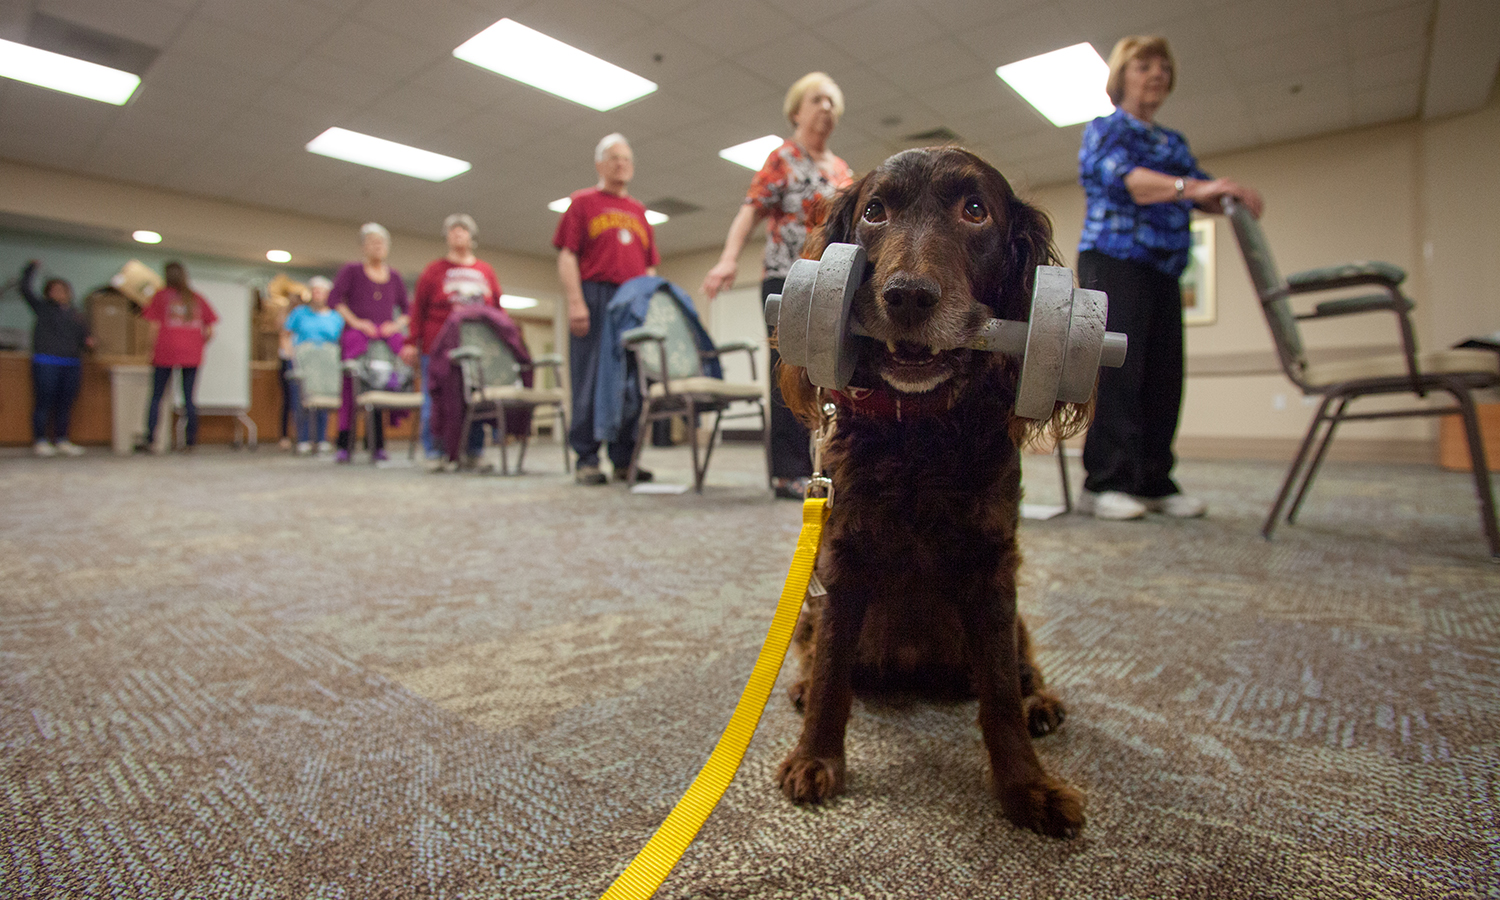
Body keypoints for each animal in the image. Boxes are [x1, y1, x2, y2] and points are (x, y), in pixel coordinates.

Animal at [774, 146, 1092, 834]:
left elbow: (999, 691)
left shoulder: (992, 564)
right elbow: (833, 668)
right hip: (811, 606)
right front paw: (815, 758)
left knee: (1020, 669)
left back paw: (1041, 701)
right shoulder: (844, 559)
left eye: (974, 210)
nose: (908, 296)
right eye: (874, 211)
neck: (919, 432)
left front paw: (1028, 787)